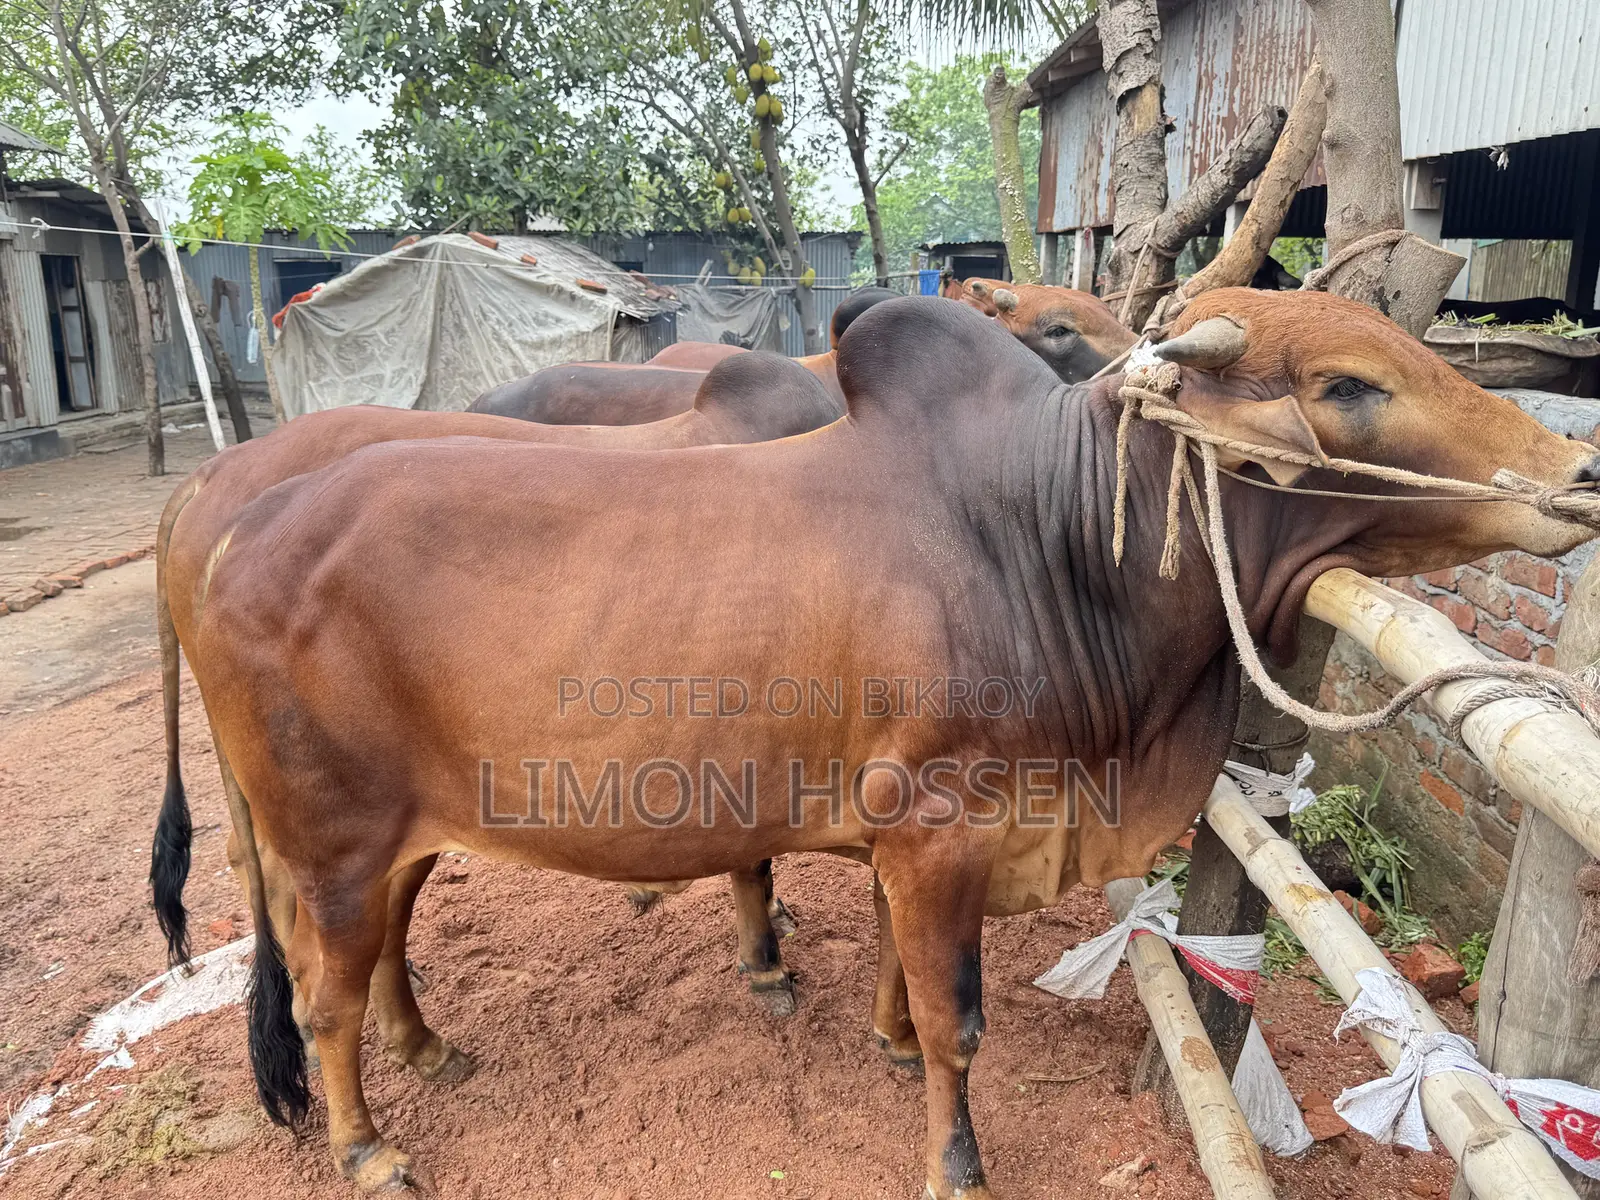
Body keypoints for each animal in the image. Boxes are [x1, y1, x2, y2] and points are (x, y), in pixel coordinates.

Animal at [163, 291, 1600, 1195]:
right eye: (1349, 387)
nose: (1575, 474)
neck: (1045, 536)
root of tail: (228, 523)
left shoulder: (909, 838)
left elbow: (903, 976)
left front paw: (885, 1039)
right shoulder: (942, 829)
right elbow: (961, 1021)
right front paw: (954, 1162)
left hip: (392, 835)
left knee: (383, 954)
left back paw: (429, 1049)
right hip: (327, 841)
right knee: (323, 994)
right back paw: (368, 1146)